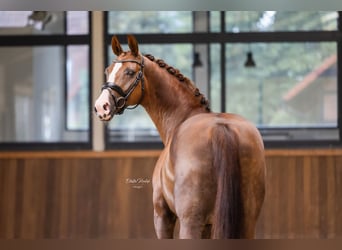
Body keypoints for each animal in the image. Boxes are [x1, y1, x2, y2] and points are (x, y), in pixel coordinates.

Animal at [94, 34, 268, 238]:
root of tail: (221, 128)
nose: (101, 106)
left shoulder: (162, 216)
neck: (183, 117)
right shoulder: (208, 226)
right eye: (107, 71)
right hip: (246, 222)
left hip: (189, 222)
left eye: (129, 72)